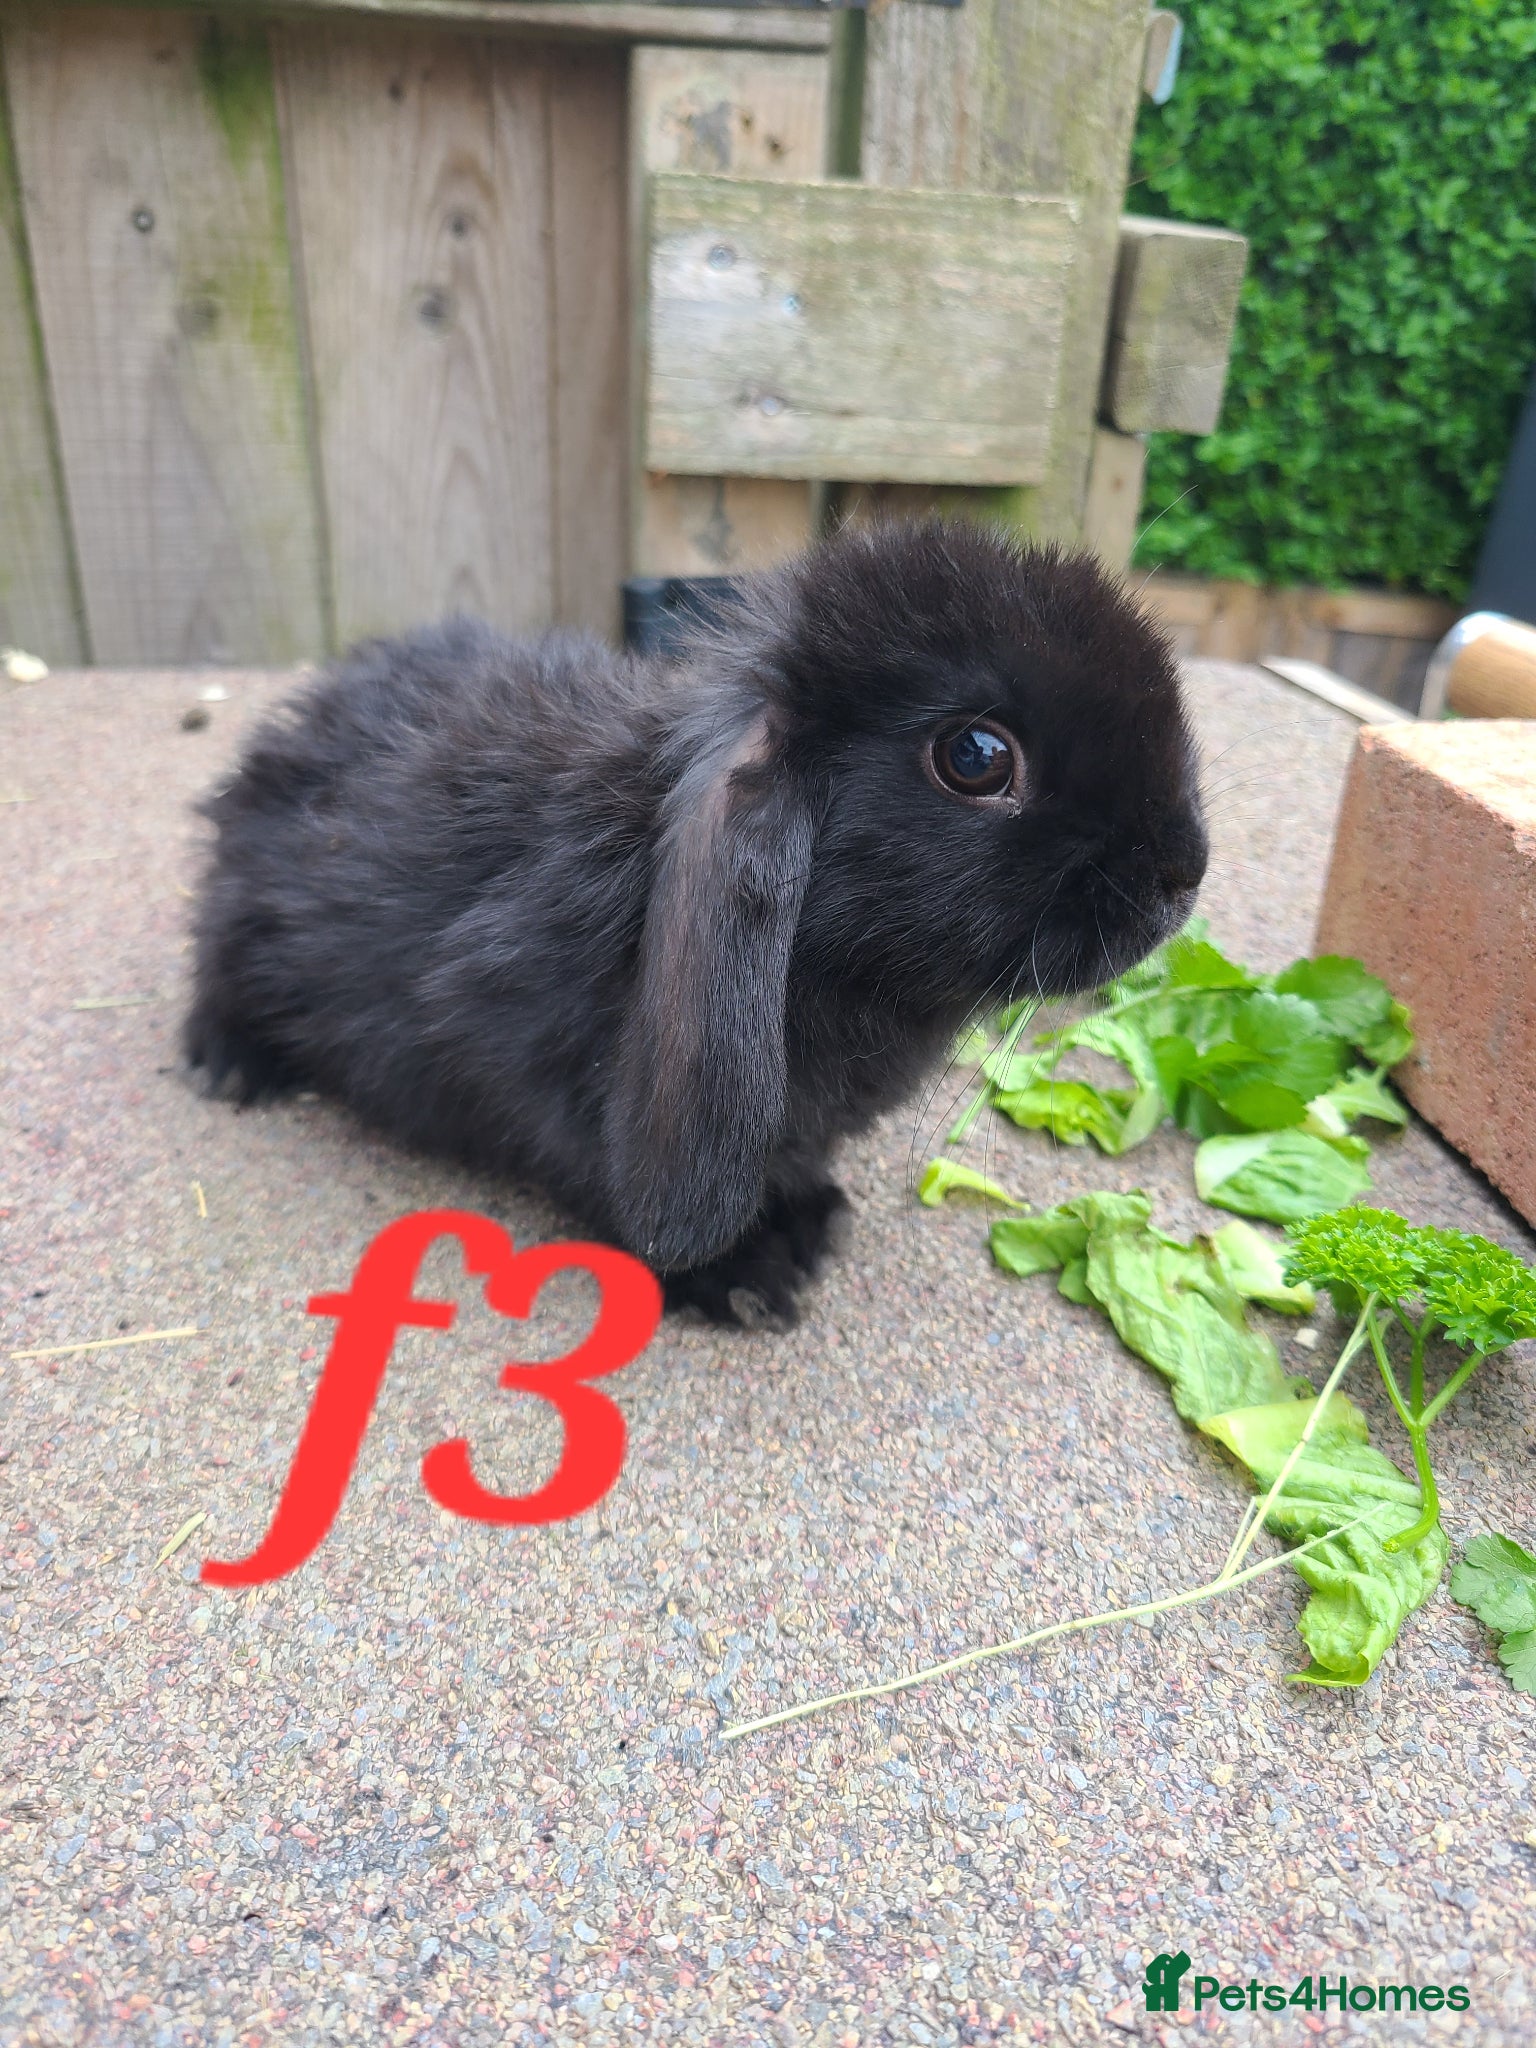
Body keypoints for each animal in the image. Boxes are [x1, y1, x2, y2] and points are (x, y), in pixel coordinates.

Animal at [184, 519, 1207, 1328]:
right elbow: (589, 1165)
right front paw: (743, 1275)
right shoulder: (520, 1057)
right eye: (976, 756)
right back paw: (228, 1066)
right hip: (247, 922)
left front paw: (810, 1220)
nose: (1182, 874)